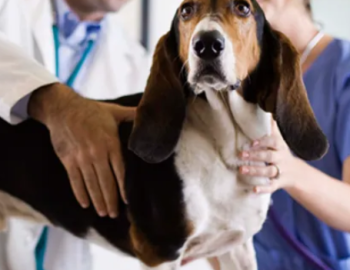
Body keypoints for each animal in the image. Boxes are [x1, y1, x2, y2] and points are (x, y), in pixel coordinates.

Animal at [0, 0, 328, 268]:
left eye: (243, 8)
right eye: (186, 10)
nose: (206, 44)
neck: (225, 146)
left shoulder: (235, 247)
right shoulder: (160, 253)